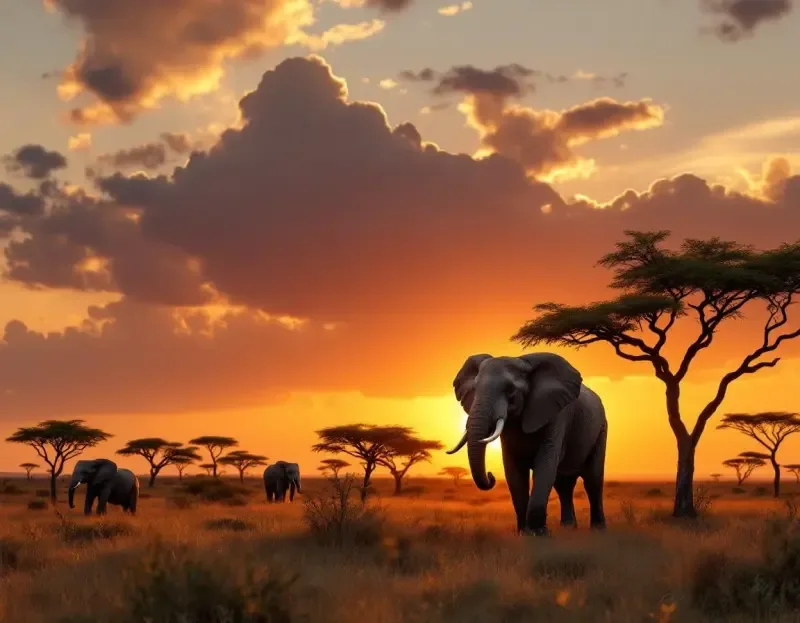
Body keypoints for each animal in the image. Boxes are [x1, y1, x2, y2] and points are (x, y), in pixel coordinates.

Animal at [446, 352, 607, 536]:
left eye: (510, 390)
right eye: (474, 388)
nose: (490, 475)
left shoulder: (557, 414)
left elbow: (545, 464)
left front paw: (539, 534)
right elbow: (513, 471)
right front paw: (524, 533)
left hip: (601, 429)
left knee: (592, 480)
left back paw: (598, 529)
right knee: (563, 484)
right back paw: (568, 527)